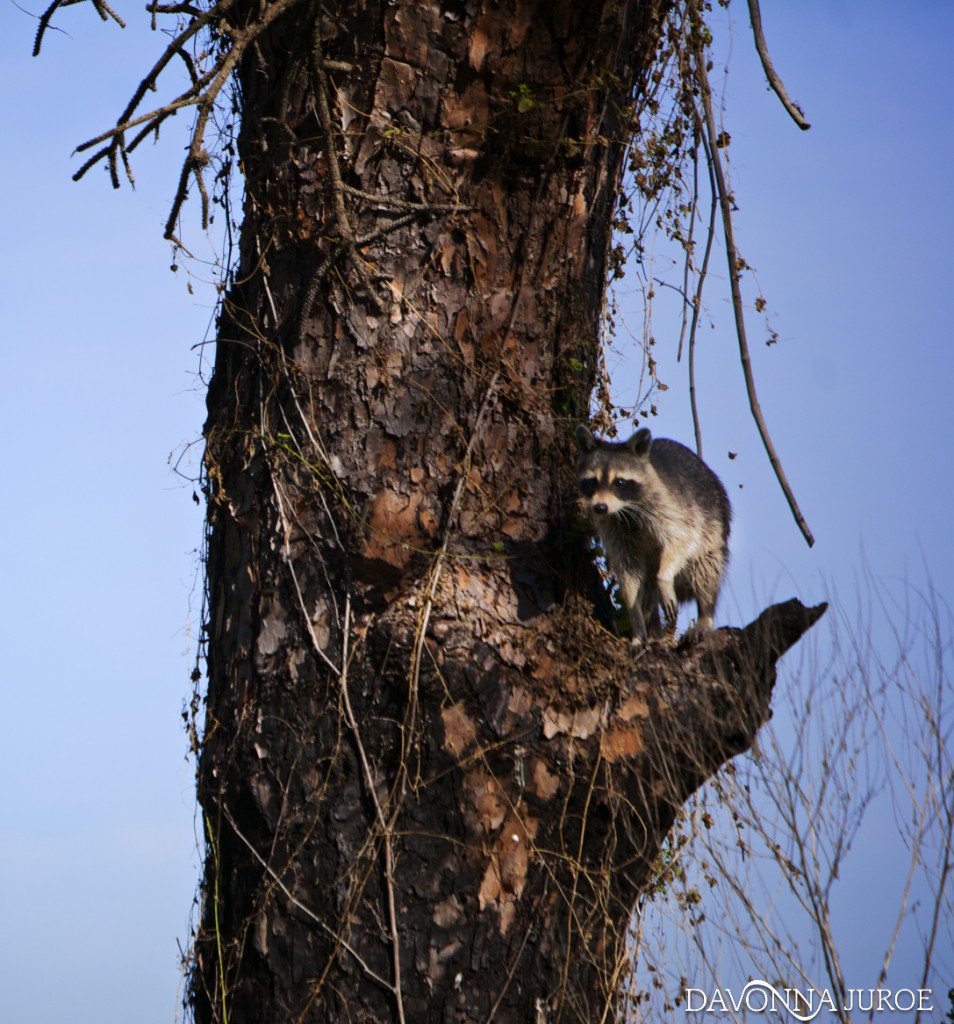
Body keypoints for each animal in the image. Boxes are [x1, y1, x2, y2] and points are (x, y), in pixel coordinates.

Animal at [573, 423, 728, 638]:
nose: (600, 507)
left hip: (714, 525)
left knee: (705, 568)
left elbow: (682, 538)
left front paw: (664, 579)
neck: (625, 509)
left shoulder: (671, 508)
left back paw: (705, 613)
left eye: (619, 482)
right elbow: (628, 569)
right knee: (646, 589)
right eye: (593, 481)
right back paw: (653, 628)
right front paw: (636, 619)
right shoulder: (613, 527)